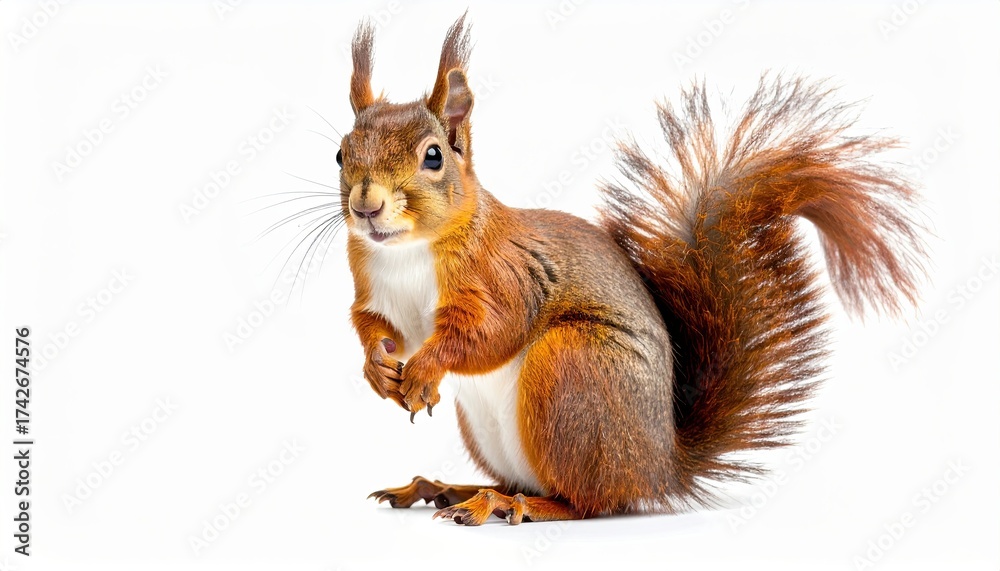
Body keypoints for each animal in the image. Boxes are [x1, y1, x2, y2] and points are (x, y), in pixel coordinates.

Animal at [337, 15, 928, 525]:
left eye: (433, 156)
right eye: (341, 154)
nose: (366, 207)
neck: (408, 252)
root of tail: (659, 467)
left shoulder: (506, 276)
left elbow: (488, 333)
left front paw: (424, 370)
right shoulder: (374, 291)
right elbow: (377, 328)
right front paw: (377, 368)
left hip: (571, 368)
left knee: (587, 501)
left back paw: (509, 505)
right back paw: (447, 488)